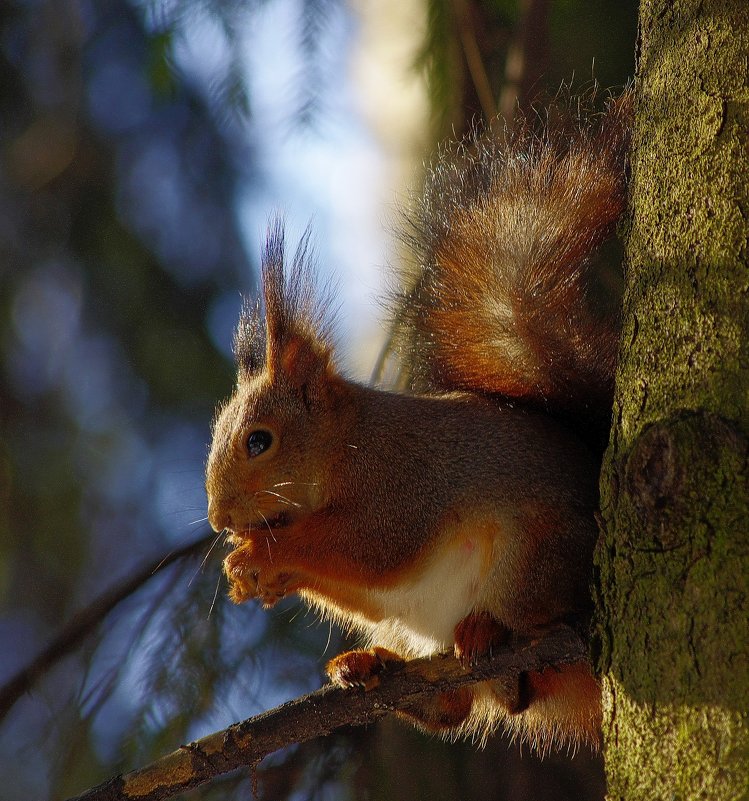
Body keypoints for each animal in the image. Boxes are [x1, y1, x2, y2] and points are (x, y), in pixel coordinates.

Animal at [205, 90, 632, 752]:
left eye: (259, 441)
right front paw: (257, 574)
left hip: (534, 557)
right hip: (423, 632)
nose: (219, 518)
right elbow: (366, 593)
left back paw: (488, 631)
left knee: (535, 628)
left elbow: (375, 547)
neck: (347, 445)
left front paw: (261, 553)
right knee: (456, 708)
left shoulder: (406, 482)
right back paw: (370, 666)